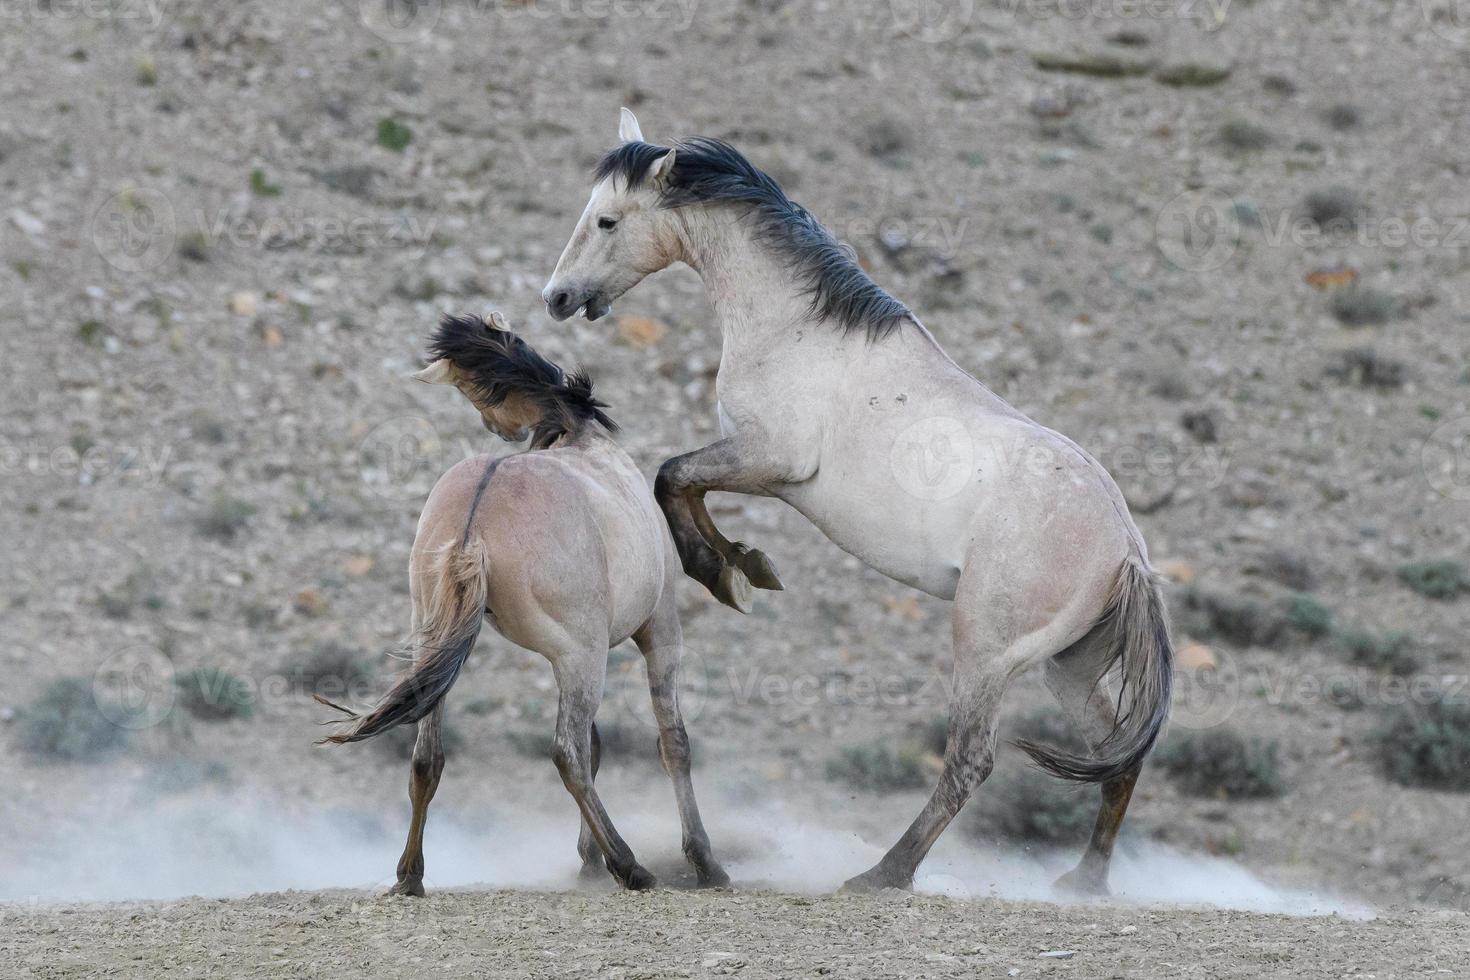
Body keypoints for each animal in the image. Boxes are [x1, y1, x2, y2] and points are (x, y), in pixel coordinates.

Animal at [324, 314, 732, 899]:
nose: (498, 430)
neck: (579, 436)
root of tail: (474, 522)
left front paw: (589, 863)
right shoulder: (656, 629)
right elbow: (671, 742)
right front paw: (703, 861)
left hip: (440, 648)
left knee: (428, 757)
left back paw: (409, 876)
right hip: (585, 657)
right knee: (569, 755)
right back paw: (631, 866)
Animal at [546, 109, 1176, 899]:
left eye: (606, 220)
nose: (556, 297)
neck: (799, 326)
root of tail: (1126, 547)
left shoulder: (769, 460)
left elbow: (673, 478)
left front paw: (727, 571)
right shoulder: (755, 464)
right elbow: (682, 484)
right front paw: (743, 565)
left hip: (986, 650)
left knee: (972, 761)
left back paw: (884, 873)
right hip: (1068, 664)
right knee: (1116, 755)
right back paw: (1083, 880)